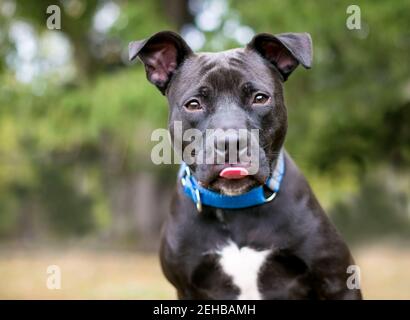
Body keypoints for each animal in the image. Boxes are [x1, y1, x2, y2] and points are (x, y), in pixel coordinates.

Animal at [128, 31, 362, 298]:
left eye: (259, 98)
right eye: (193, 104)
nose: (230, 142)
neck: (235, 207)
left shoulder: (337, 281)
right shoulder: (186, 288)